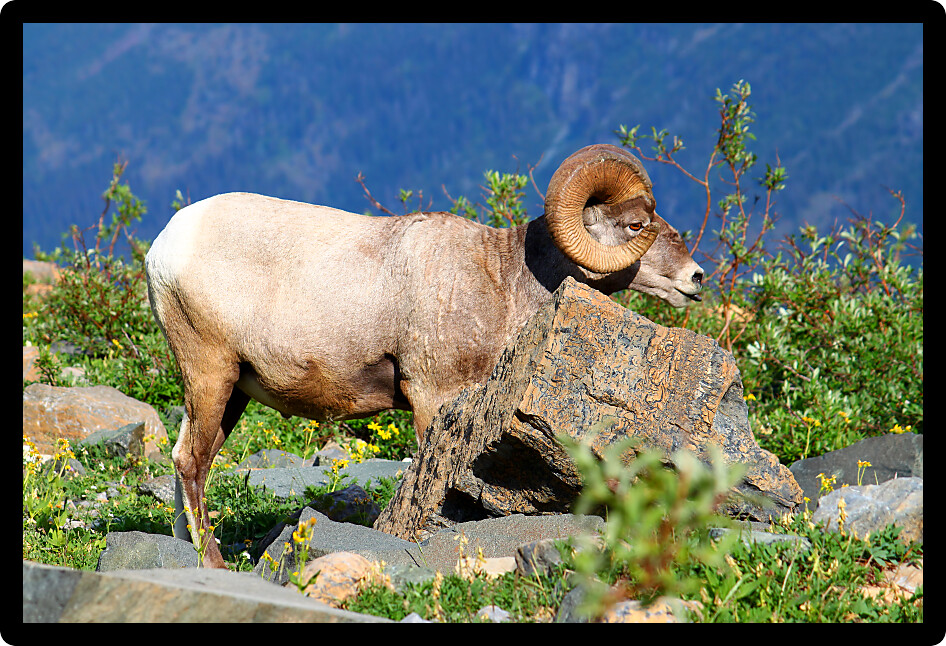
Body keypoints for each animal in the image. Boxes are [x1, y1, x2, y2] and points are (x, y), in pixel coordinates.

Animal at [145, 143, 704, 567]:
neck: (503, 280)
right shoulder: (432, 395)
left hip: (230, 390)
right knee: (191, 461)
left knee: (186, 459)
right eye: (635, 225)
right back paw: (214, 565)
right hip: (211, 371)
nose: (695, 279)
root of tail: (162, 249)